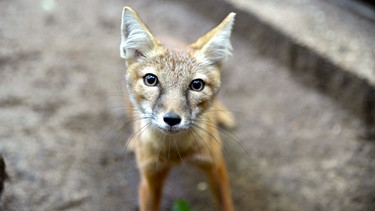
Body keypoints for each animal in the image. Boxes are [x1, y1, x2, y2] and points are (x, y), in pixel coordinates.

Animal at [120, 6, 236, 211]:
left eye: (196, 85)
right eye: (151, 80)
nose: (172, 119)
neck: (175, 153)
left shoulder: (215, 165)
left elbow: (226, 204)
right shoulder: (150, 178)